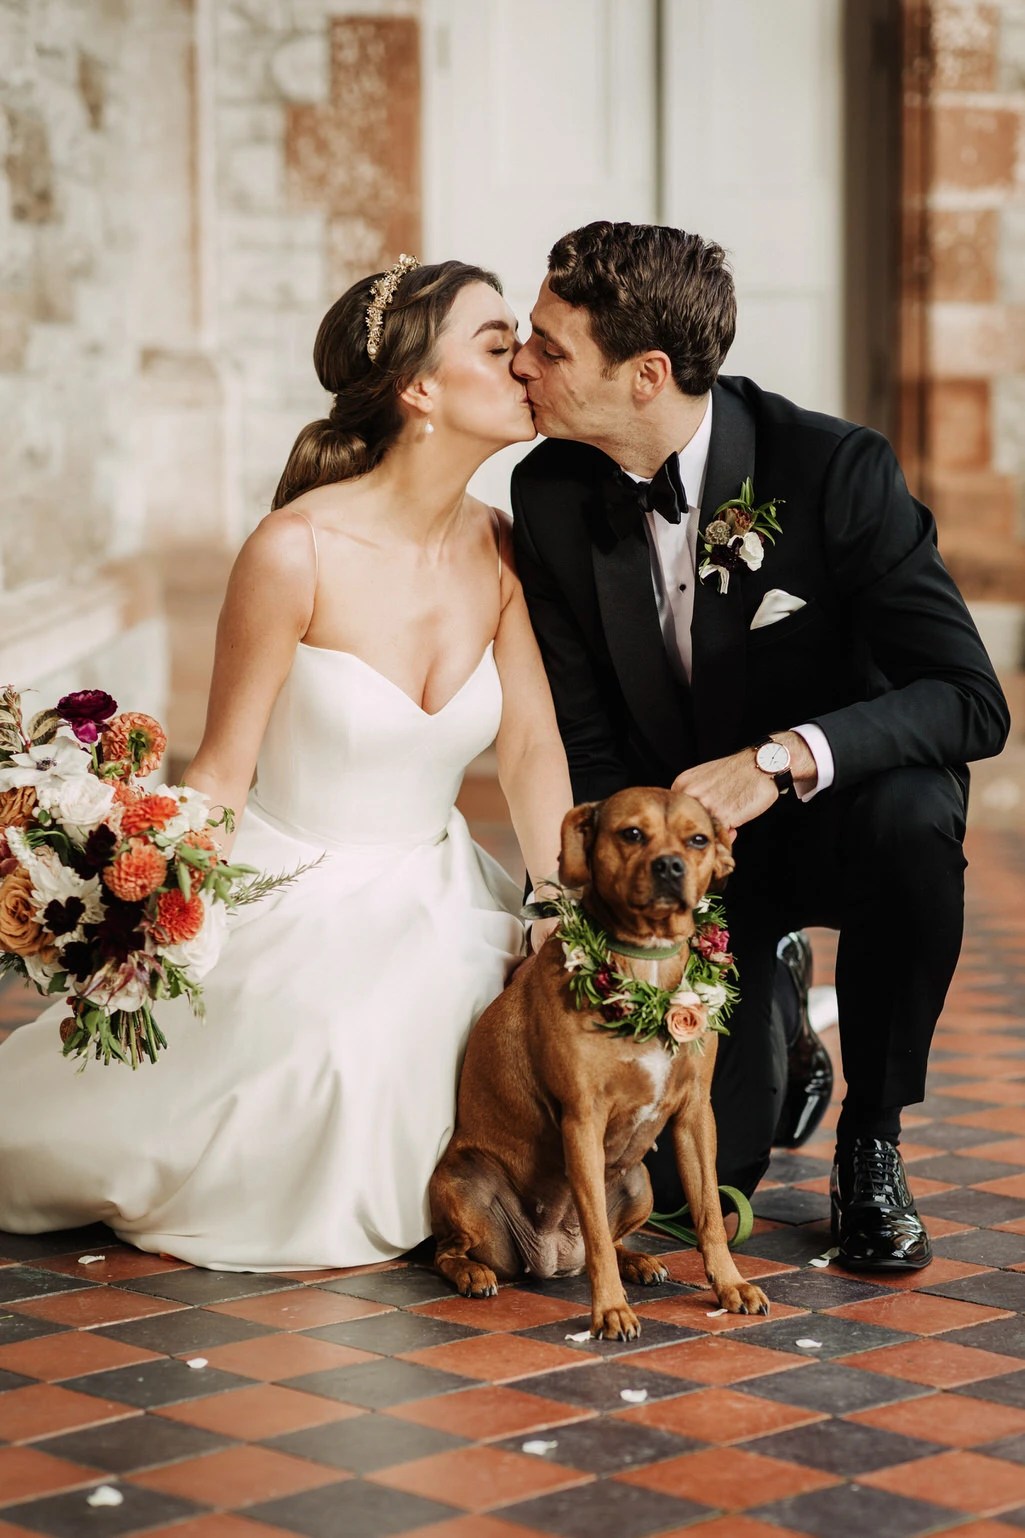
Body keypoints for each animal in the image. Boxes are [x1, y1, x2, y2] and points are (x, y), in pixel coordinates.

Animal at [427, 787, 769, 1341]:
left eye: (698, 839)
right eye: (631, 833)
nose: (670, 866)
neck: (646, 964)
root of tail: (551, 1257)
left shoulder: (695, 1115)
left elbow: (710, 1217)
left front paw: (730, 1285)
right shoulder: (583, 1121)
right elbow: (596, 1231)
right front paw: (611, 1310)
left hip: (640, 1182)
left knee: (608, 1241)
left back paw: (638, 1260)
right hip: (465, 1184)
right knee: (449, 1250)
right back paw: (471, 1273)